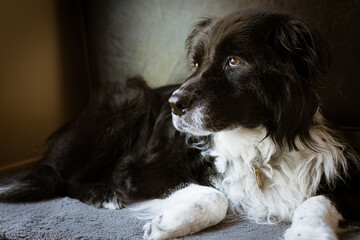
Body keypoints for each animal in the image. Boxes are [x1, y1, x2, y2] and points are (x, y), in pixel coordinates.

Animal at [0, 8, 360, 239]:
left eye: (235, 62)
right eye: (196, 64)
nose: (174, 104)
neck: (255, 144)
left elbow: (319, 200)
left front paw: (309, 231)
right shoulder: (136, 170)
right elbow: (214, 195)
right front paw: (164, 225)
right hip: (128, 103)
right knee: (67, 179)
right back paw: (104, 195)